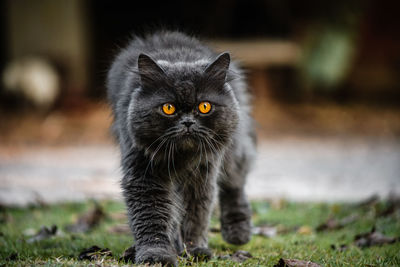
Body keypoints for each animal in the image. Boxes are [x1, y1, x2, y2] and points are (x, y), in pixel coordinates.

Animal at [107, 30, 256, 266]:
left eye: (204, 106)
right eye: (168, 108)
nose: (187, 123)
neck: (181, 158)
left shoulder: (201, 175)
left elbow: (195, 215)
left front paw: (193, 250)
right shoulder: (145, 175)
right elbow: (152, 218)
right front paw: (156, 255)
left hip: (233, 151)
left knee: (235, 183)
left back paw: (238, 233)